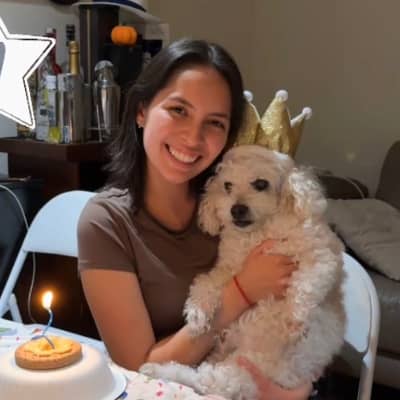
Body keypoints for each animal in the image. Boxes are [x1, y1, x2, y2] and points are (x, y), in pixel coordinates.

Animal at [140, 145, 345, 399]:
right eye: (227, 185)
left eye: (260, 184)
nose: (236, 209)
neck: (258, 234)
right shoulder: (230, 267)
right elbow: (206, 283)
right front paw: (197, 314)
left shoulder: (320, 256)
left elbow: (306, 285)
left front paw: (295, 319)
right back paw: (159, 369)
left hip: (248, 367)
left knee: (209, 383)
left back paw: (159, 370)